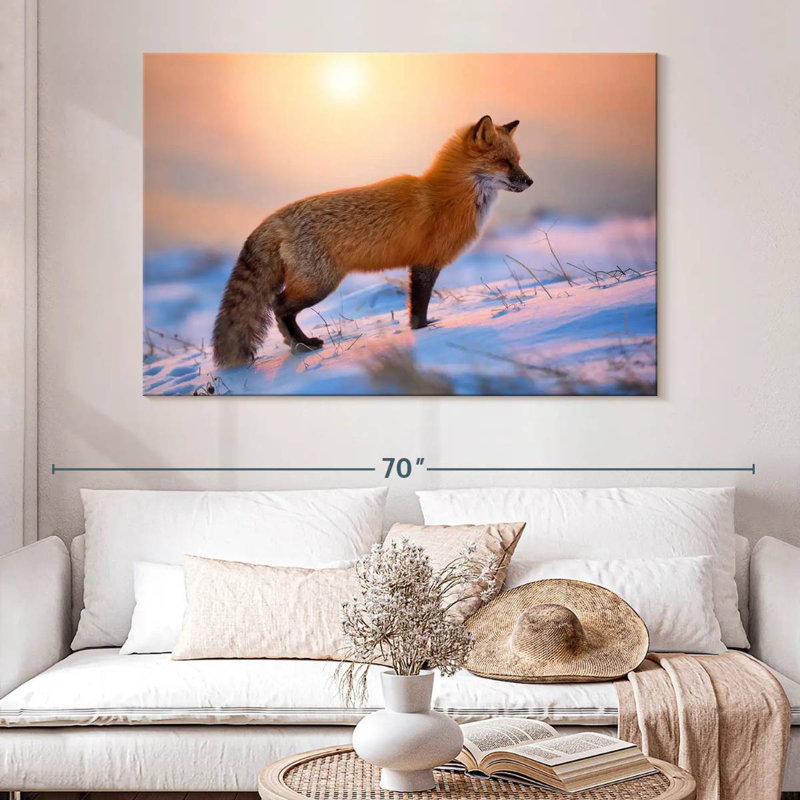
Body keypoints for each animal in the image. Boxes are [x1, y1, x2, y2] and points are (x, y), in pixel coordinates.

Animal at [212, 114, 532, 367]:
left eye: (518, 161)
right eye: (504, 162)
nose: (530, 182)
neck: (449, 197)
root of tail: (275, 218)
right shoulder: (425, 263)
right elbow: (419, 306)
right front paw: (423, 331)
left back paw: (299, 344)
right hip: (320, 284)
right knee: (278, 306)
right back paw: (302, 344)